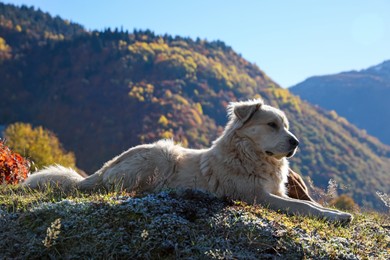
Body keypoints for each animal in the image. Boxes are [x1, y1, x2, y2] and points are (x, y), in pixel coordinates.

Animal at [24, 100, 354, 222]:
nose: (296, 143)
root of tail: (103, 169)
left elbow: (309, 204)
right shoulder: (257, 196)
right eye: (272, 125)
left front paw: (336, 213)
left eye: (284, 126)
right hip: (162, 154)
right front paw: (336, 217)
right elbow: (302, 206)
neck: (248, 155)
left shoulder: (273, 191)